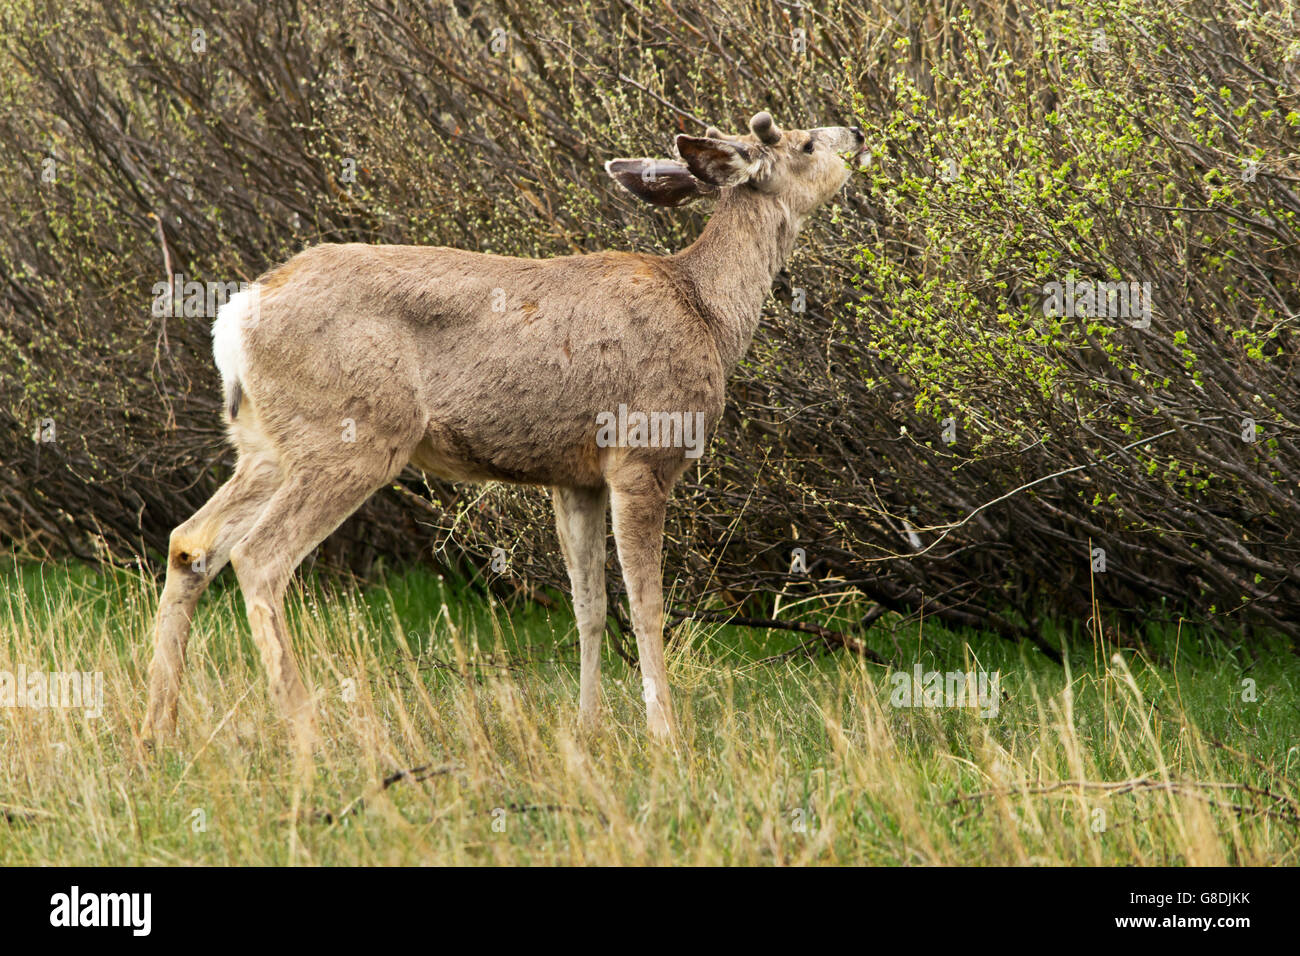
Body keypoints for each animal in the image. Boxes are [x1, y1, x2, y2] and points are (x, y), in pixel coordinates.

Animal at [141, 111, 867, 751]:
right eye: (804, 142)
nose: (857, 133)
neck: (709, 314)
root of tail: (236, 315)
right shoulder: (642, 455)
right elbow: (647, 604)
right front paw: (665, 735)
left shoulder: (576, 477)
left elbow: (588, 604)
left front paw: (588, 727)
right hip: (353, 434)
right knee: (259, 557)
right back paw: (306, 733)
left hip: (266, 446)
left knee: (190, 542)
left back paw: (161, 732)